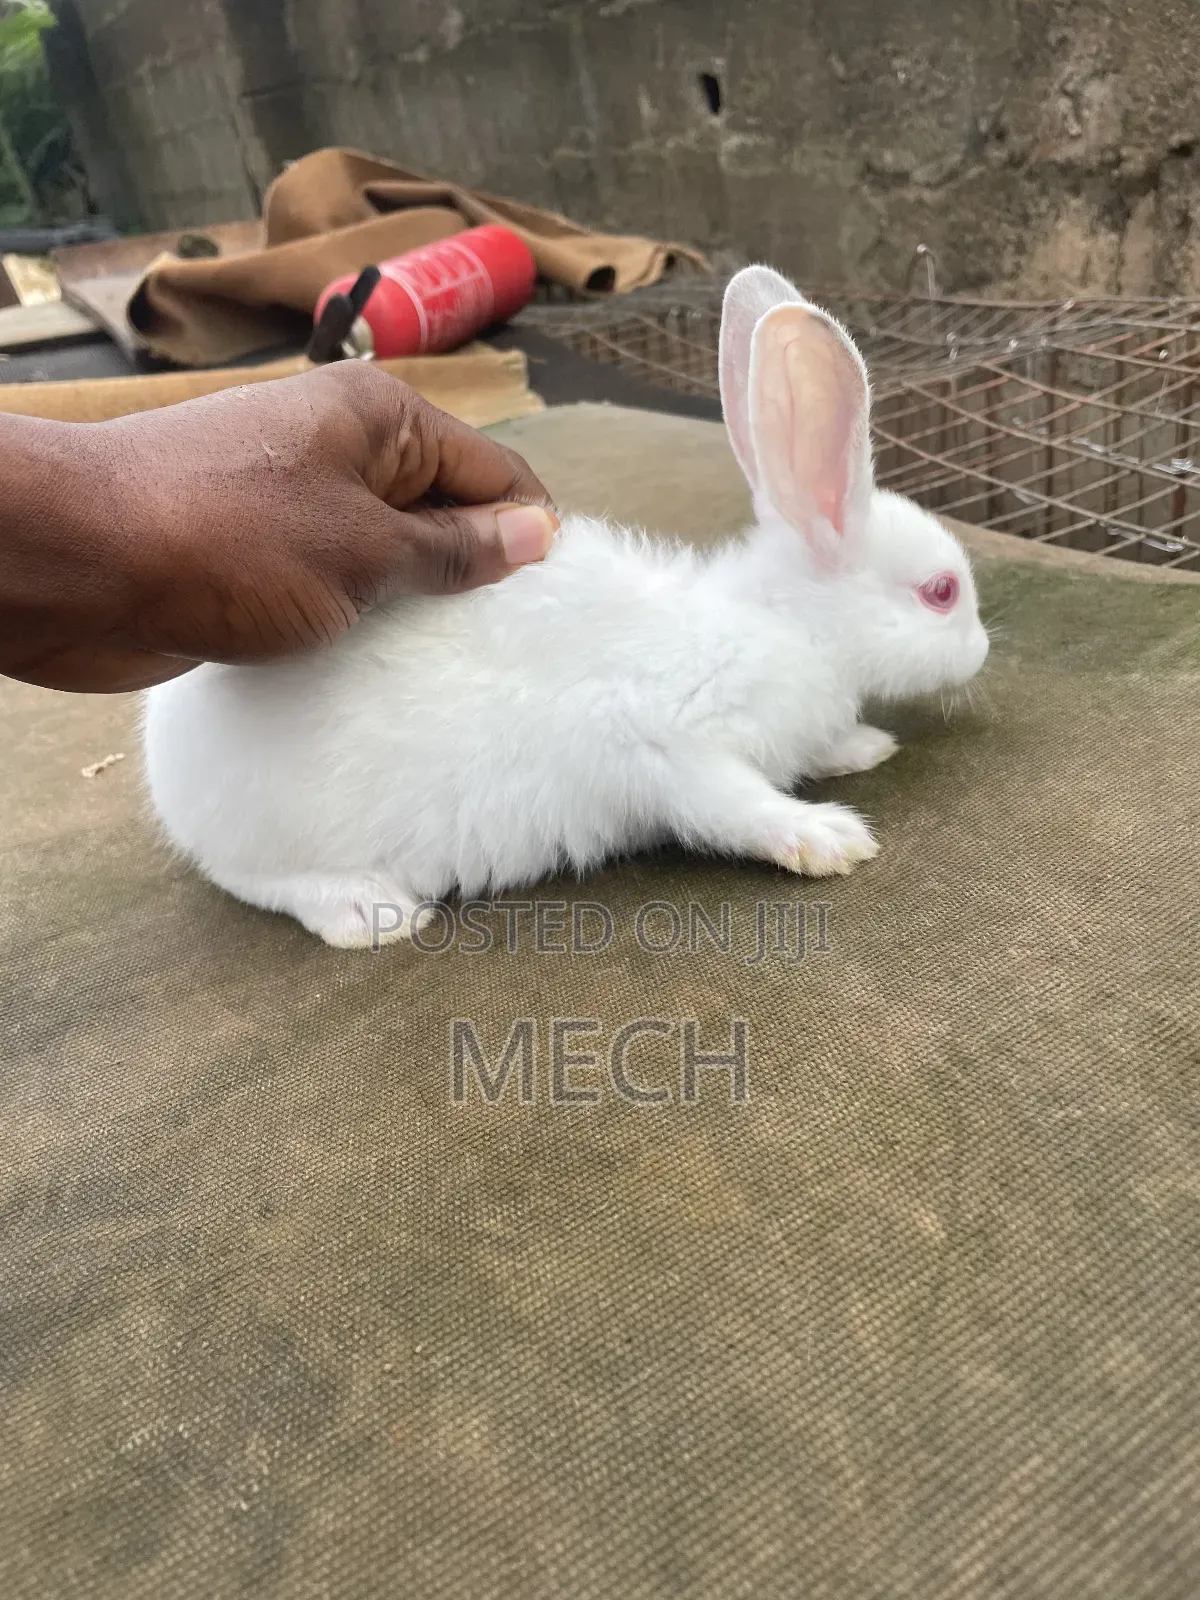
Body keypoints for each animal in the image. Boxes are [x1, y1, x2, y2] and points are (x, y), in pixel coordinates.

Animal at [142, 265, 990, 948]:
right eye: (941, 592)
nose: (984, 650)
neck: (788, 629)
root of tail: (167, 760)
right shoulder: (662, 744)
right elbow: (733, 806)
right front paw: (826, 837)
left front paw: (862, 746)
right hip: (283, 835)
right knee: (258, 882)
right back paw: (366, 913)